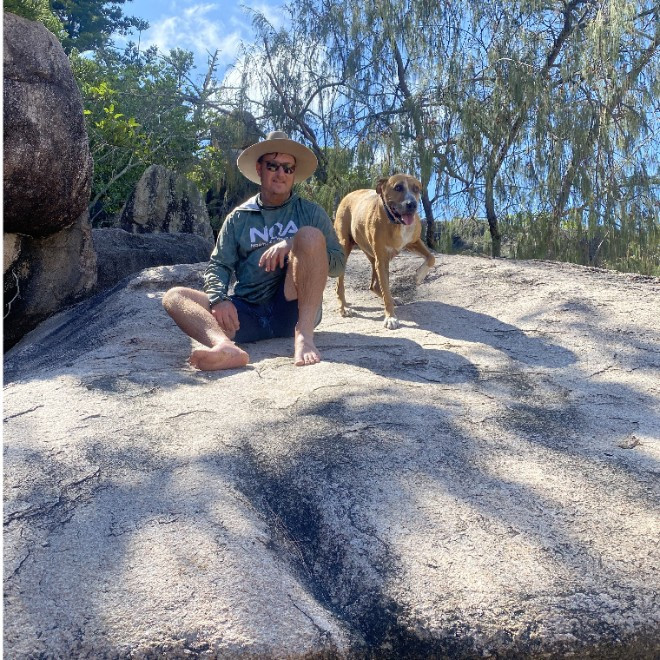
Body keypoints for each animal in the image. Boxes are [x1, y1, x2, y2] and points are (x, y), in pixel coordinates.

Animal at [334, 174, 436, 329]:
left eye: (416, 189)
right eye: (398, 187)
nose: (412, 204)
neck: (395, 223)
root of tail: (349, 194)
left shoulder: (413, 242)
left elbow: (431, 257)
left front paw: (419, 276)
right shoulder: (381, 261)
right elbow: (386, 291)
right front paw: (390, 317)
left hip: (373, 256)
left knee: (374, 285)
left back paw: (394, 298)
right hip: (346, 248)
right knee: (340, 285)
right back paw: (344, 308)